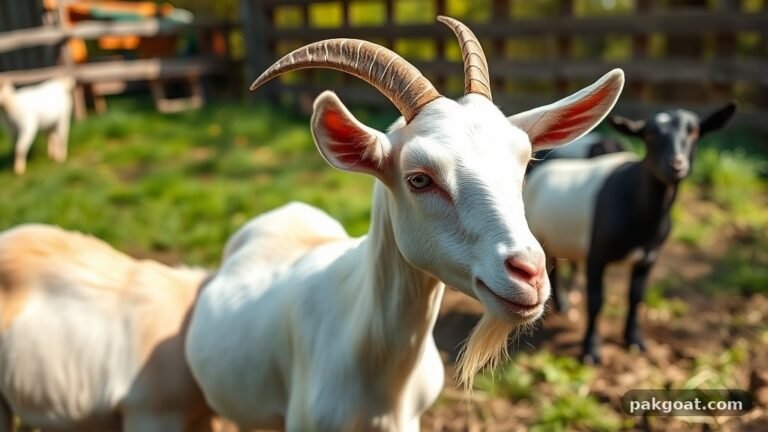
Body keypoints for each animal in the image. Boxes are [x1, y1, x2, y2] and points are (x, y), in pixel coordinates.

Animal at [523, 103, 736, 364]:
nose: (676, 165)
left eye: (694, 132)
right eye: (649, 134)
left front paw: (634, 339)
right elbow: (596, 300)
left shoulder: (649, 257)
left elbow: (636, 296)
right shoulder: (597, 255)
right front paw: (591, 350)